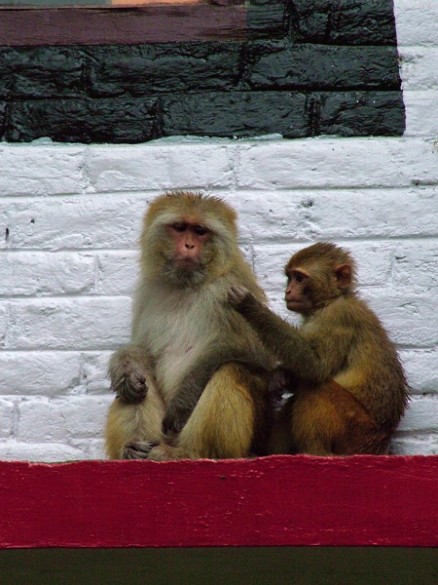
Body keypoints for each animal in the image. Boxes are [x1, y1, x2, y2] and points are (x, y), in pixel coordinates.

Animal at [105, 191, 276, 461]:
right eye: (180, 228)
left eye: (200, 231)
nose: (188, 245)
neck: (188, 285)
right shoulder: (148, 292)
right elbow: (144, 353)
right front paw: (125, 369)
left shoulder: (232, 287)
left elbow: (259, 354)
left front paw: (183, 401)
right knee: (138, 387)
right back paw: (133, 449)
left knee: (229, 368)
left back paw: (191, 453)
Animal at [227, 242, 410, 456]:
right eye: (289, 277)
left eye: (299, 278)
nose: (288, 291)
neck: (328, 302)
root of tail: (381, 445)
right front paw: (281, 376)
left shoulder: (337, 317)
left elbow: (316, 367)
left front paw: (250, 306)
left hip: (357, 434)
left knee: (317, 388)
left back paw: (316, 452)